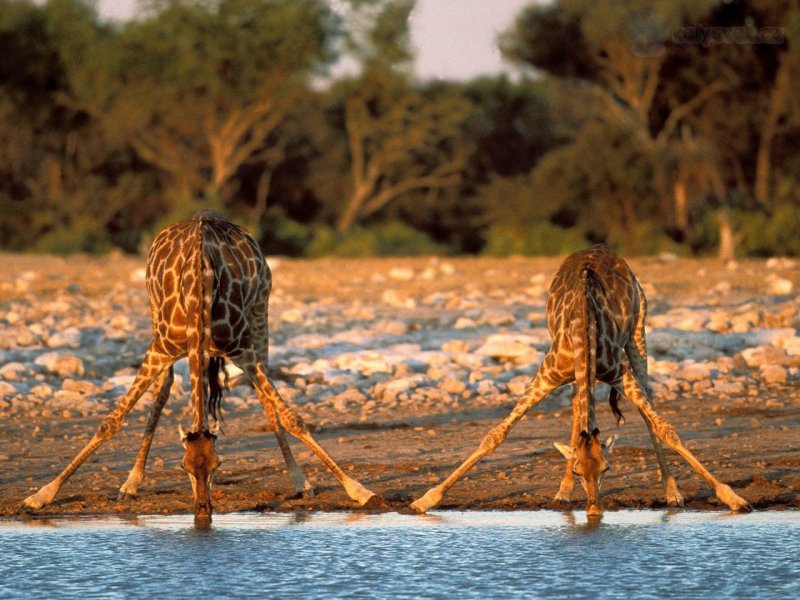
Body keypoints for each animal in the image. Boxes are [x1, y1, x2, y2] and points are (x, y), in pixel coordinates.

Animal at [21, 210, 384, 516]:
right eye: (183, 466)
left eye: (218, 465)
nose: (203, 510)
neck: (198, 290)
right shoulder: (160, 349)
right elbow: (110, 422)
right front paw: (41, 494)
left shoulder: (243, 350)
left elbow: (293, 417)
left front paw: (358, 490)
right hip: (154, 317)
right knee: (164, 388)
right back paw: (131, 483)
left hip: (260, 311)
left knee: (265, 396)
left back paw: (299, 481)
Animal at [410, 244, 752, 516]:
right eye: (578, 469)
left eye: (607, 468)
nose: (594, 509)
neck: (584, 328)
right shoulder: (547, 373)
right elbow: (494, 435)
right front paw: (425, 500)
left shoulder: (620, 373)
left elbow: (666, 429)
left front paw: (733, 498)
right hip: (580, 370)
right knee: (577, 407)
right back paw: (562, 492)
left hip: (638, 332)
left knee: (645, 408)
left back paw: (672, 493)